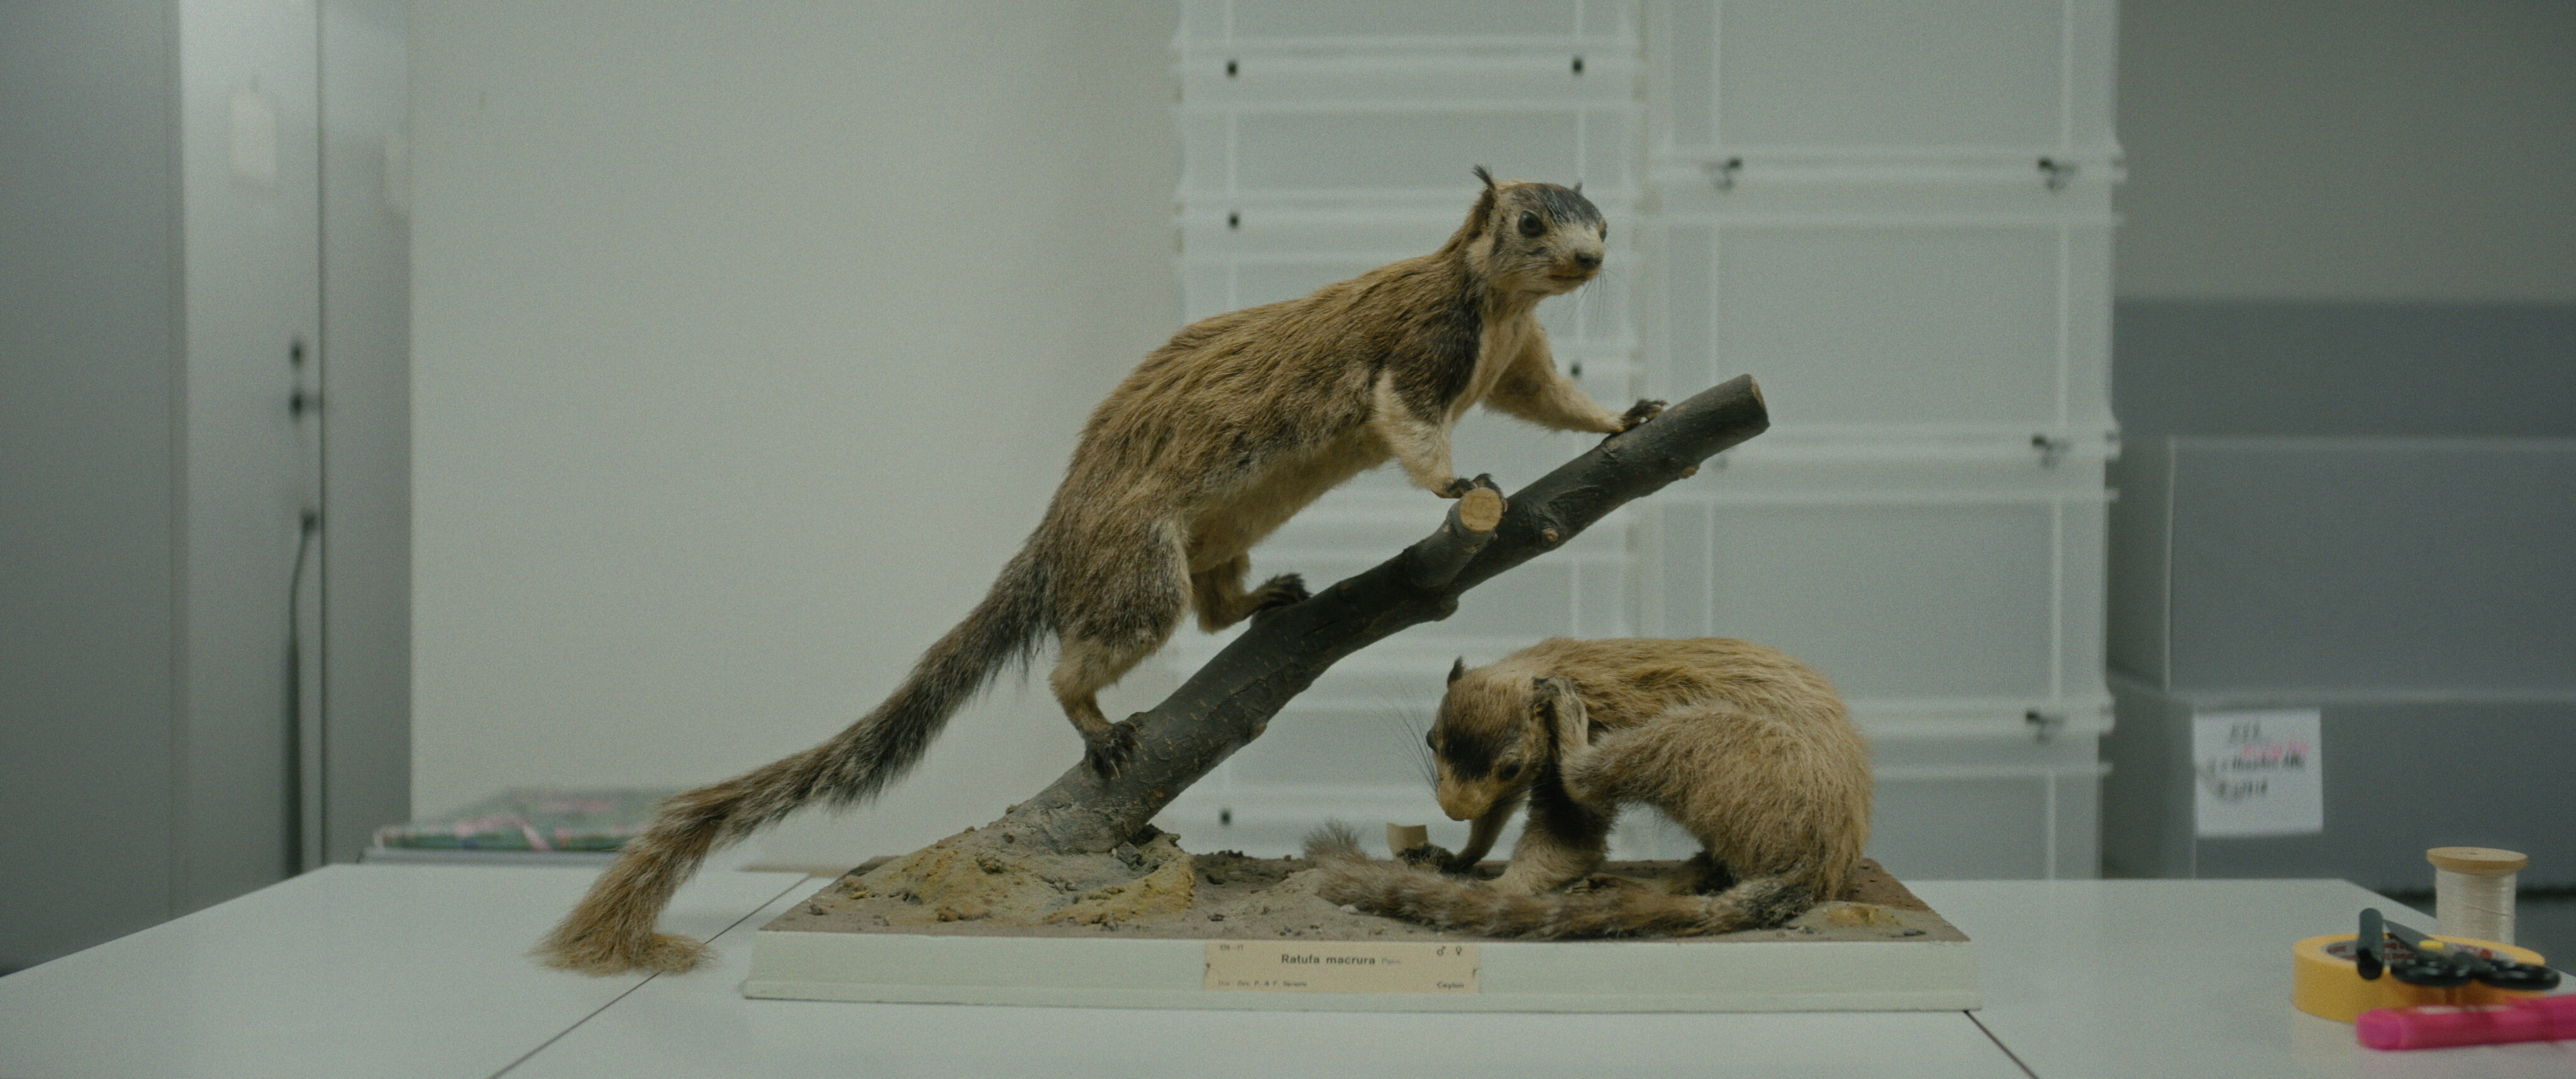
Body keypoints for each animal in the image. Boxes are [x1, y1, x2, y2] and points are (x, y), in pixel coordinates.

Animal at [536, 170, 1663, 975]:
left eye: (1601, 217)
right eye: (1531, 223)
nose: (1592, 256)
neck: (1499, 313)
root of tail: (1059, 534)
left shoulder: (1519, 366)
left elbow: (1559, 404)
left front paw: (1630, 417)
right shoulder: (1418, 356)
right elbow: (1415, 431)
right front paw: (1461, 485)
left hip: (1211, 544)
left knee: (1212, 613)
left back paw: (1268, 599)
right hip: (1137, 572)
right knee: (1086, 658)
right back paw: (1101, 727)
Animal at [1309, 637, 1871, 939]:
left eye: (1512, 765)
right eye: (1432, 740)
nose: (1452, 810)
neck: (1543, 667)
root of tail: (1822, 865)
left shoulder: (1560, 755)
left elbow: (1570, 842)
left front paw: (1497, 891)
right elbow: (1493, 820)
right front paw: (1459, 856)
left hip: (1710, 737)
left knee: (1587, 776)